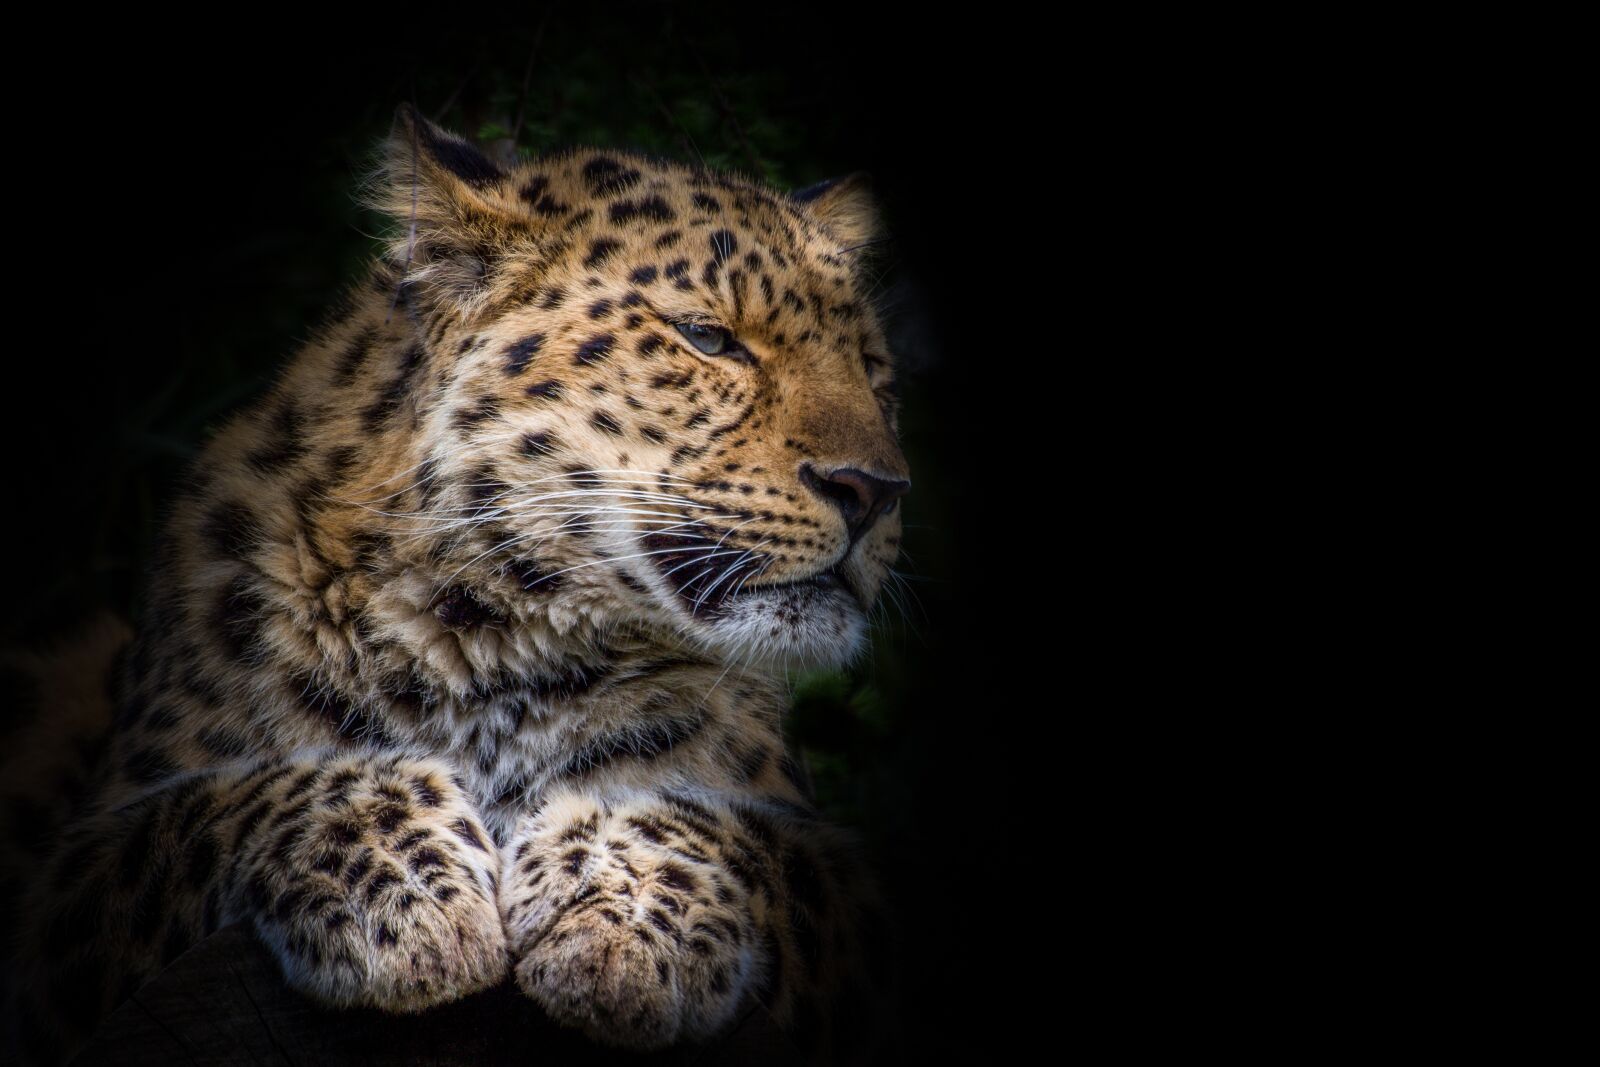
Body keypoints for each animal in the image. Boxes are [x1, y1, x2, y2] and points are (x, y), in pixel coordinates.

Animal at [0, 104, 910, 1064]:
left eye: (873, 371)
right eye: (708, 338)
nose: (876, 489)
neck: (494, 637)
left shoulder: (836, 877)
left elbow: (720, 825)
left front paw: (618, 927)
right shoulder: (76, 882)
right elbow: (243, 794)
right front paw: (408, 901)